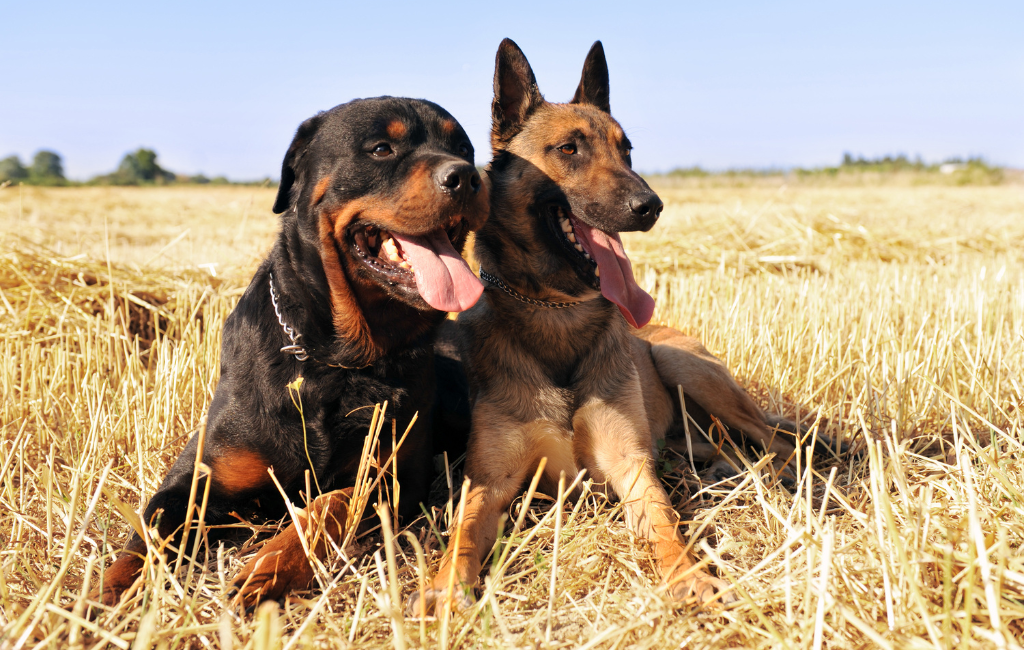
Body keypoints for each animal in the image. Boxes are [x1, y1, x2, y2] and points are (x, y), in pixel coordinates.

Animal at [97, 96, 489, 610]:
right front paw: (100, 595)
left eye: (463, 148)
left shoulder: (395, 479)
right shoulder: (196, 478)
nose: (466, 176)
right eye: (381, 148)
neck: (336, 359)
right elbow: (148, 534)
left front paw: (270, 565)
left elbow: (330, 503)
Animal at [403, 39, 827, 614]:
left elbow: (666, 525)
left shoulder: (631, 468)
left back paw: (792, 478)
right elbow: (463, 534)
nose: (650, 206)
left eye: (627, 150)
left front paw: (688, 575)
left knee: (781, 443)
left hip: (687, 369)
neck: (557, 311)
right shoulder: (490, 481)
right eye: (568, 149)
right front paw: (445, 587)